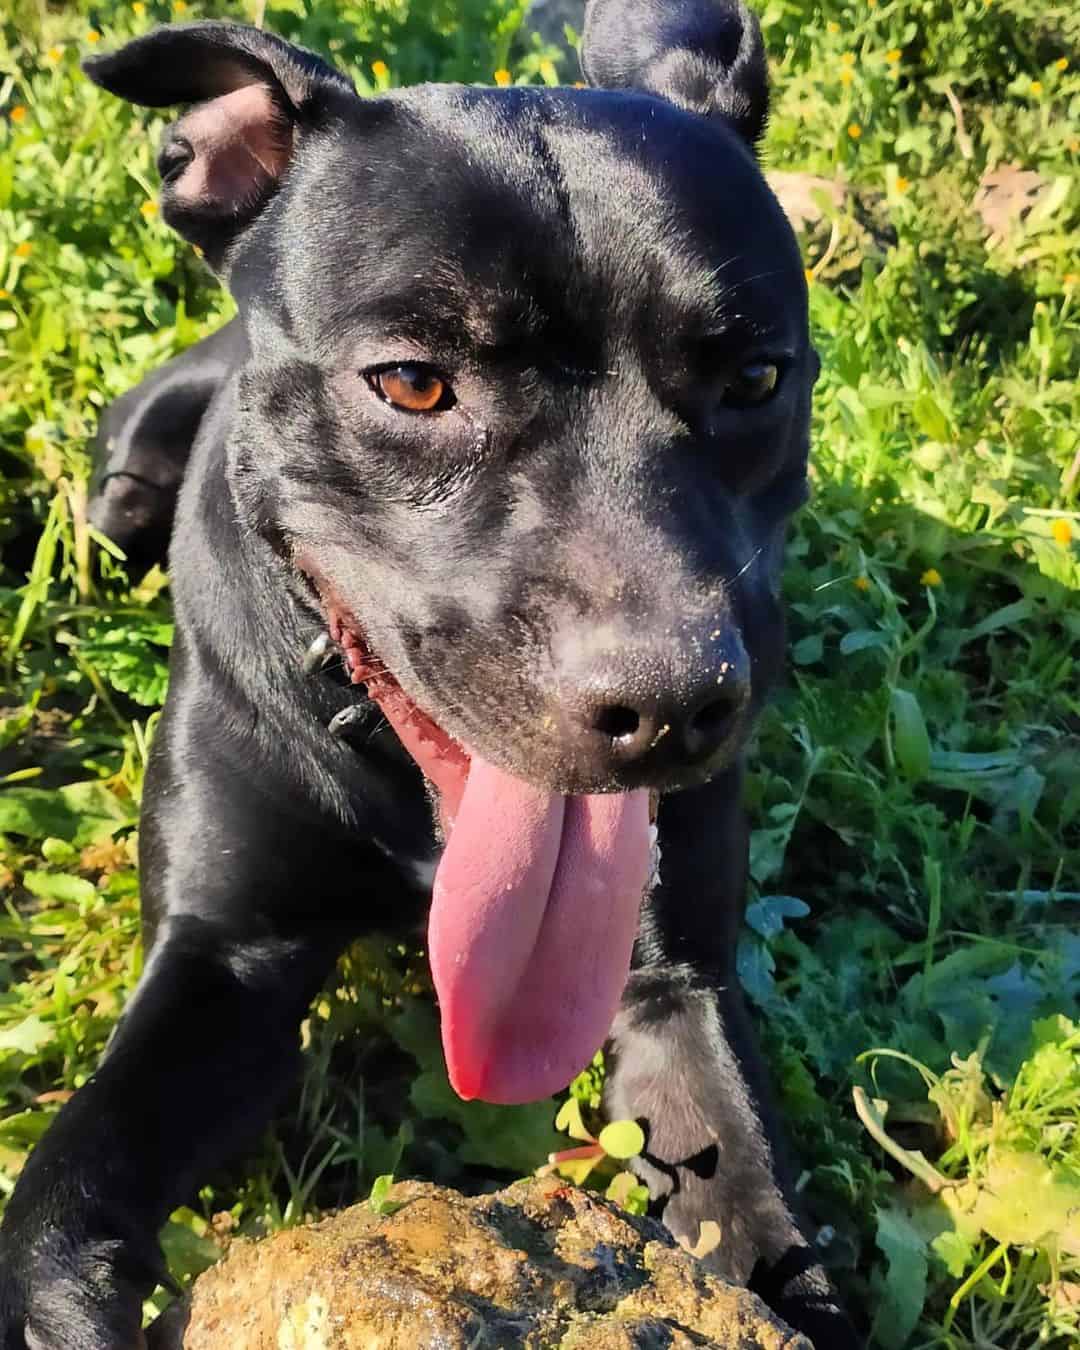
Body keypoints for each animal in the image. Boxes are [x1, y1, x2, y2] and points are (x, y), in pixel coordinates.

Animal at [0, 5, 858, 1344]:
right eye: (411, 381)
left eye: (758, 379)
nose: (671, 707)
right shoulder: (222, 960)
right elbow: (59, 1193)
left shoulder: (676, 984)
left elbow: (758, 1209)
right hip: (126, 465)